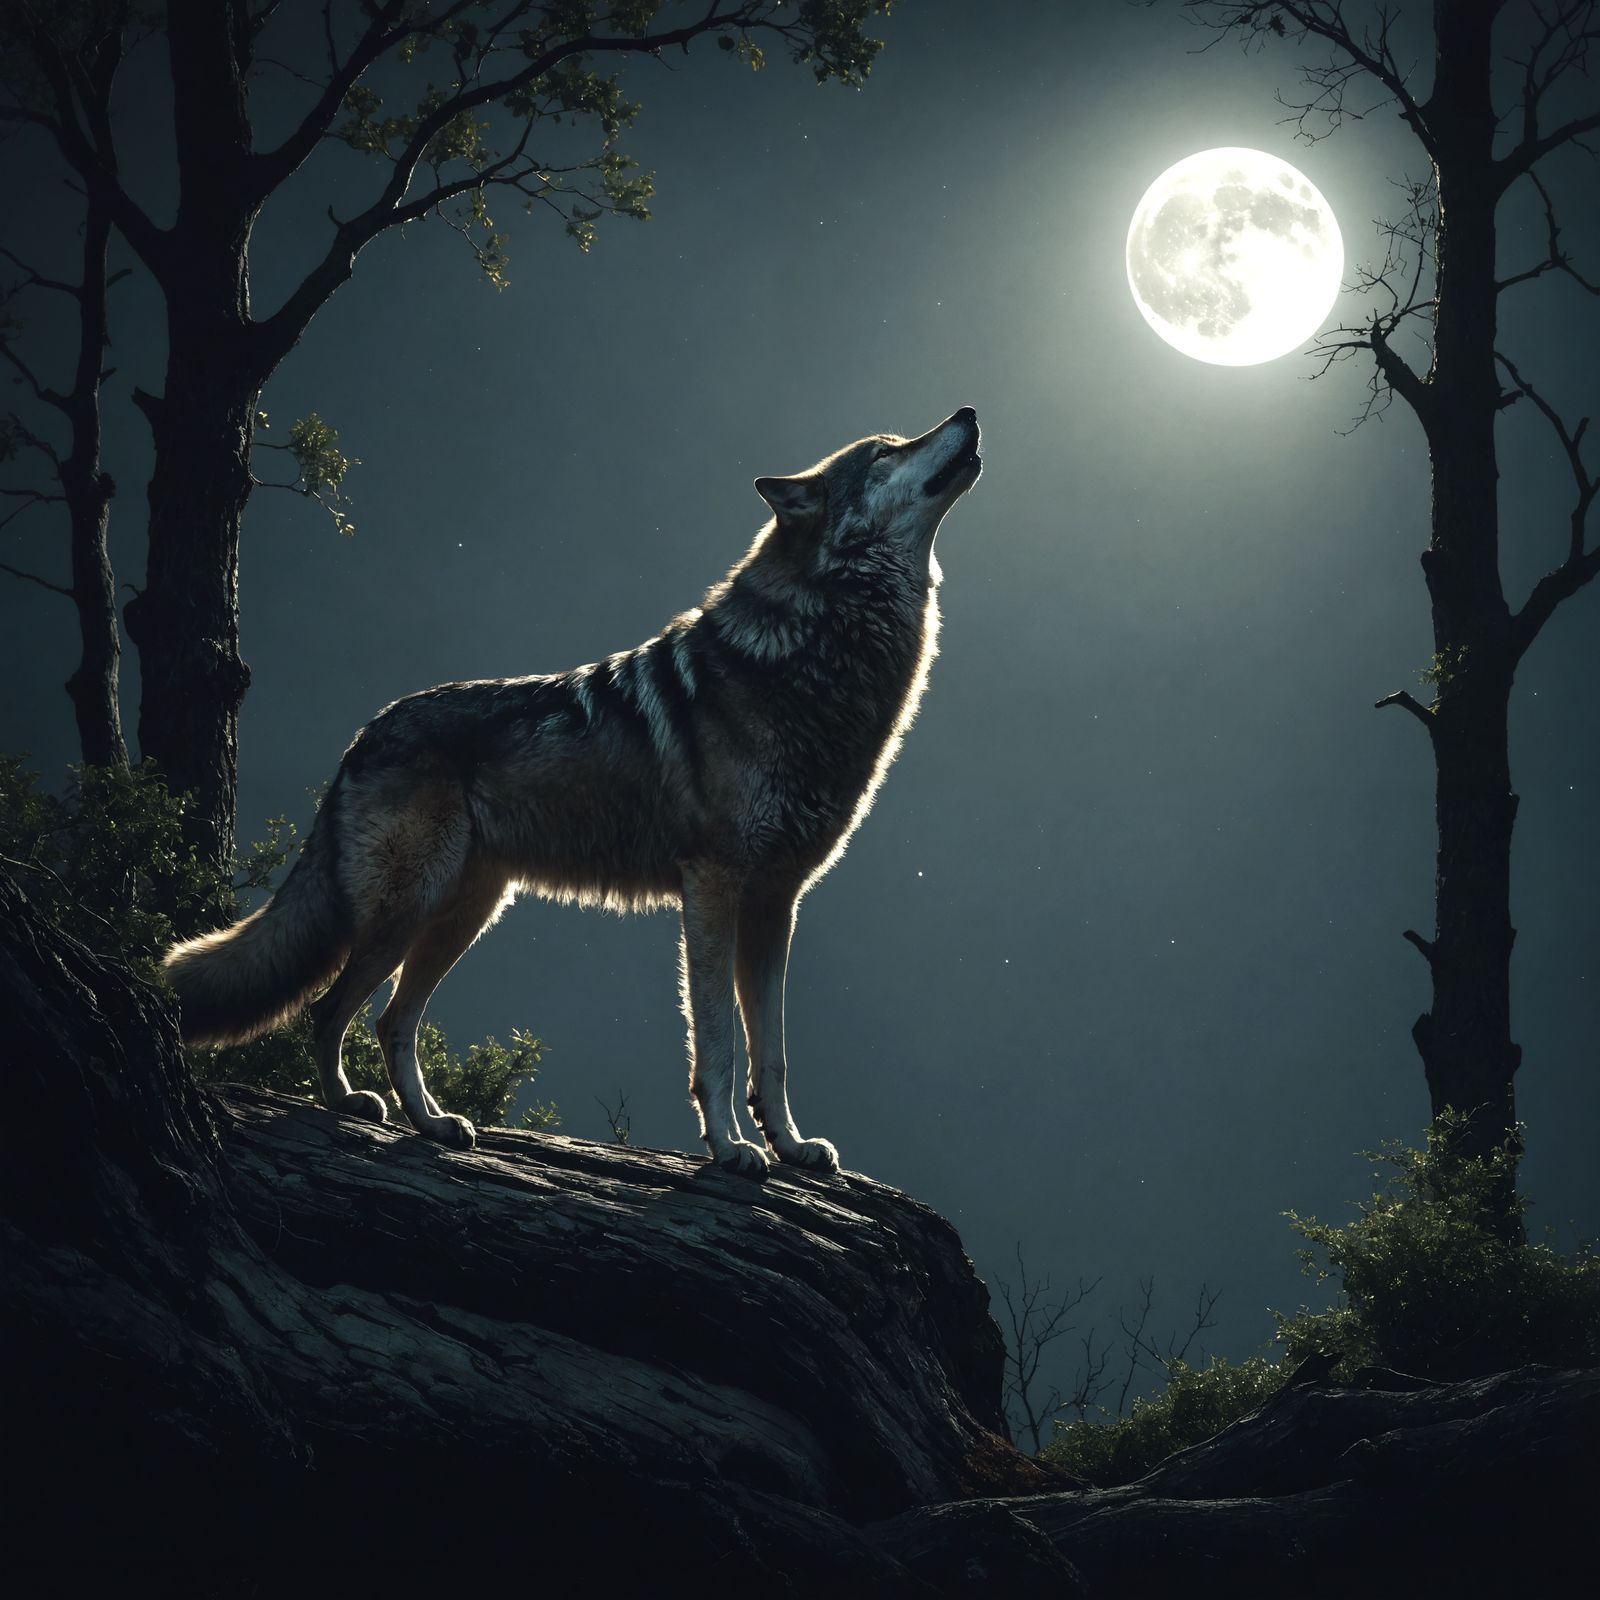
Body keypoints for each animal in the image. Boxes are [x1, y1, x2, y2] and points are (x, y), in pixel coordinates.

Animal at [163, 407, 983, 1175]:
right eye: (886, 451)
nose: (968, 414)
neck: (814, 655)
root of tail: (363, 734)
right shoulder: (714, 887)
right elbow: (719, 1043)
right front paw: (730, 1149)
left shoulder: (776, 904)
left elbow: (771, 1054)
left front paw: (789, 1144)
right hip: (410, 910)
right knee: (329, 1009)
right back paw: (348, 1107)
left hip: (464, 915)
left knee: (391, 1022)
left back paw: (434, 1125)